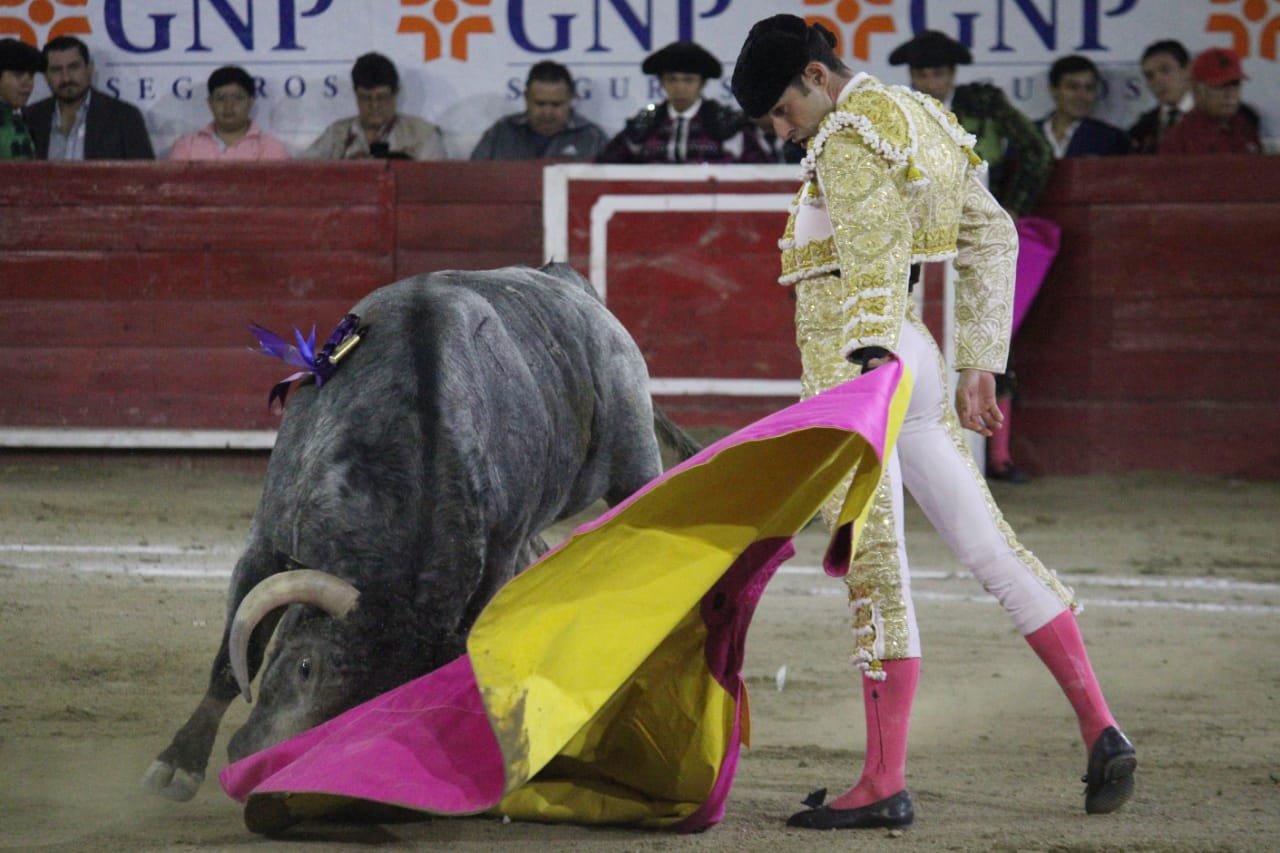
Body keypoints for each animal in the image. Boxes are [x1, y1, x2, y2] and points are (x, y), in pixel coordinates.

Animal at [143, 264, 696, 802]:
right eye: (304, 667)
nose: (263, 774)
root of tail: (571, 283)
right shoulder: (267, 540)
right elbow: (236, 655)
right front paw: (179, 763)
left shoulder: (495, 551)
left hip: (635, 463)